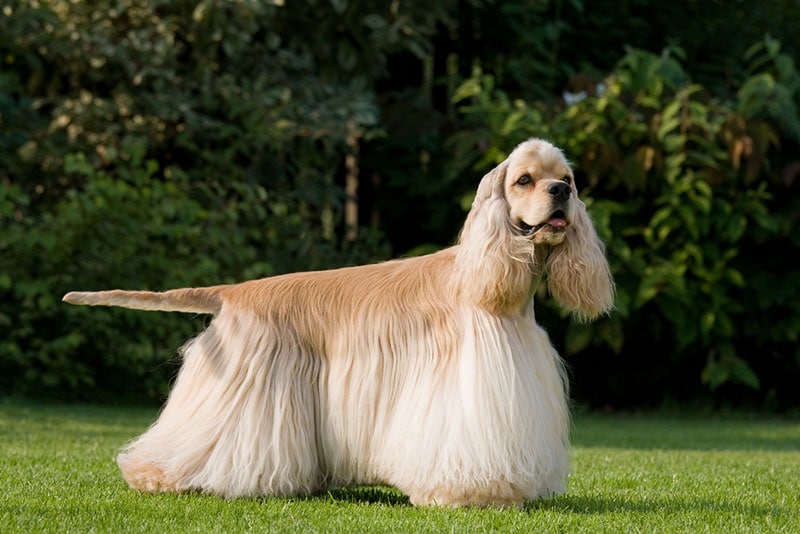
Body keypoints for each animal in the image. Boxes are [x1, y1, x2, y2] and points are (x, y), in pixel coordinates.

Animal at [64, 137, 612, 506]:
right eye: (524, 180)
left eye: (567, 178)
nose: (560, 192)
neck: (498, 287)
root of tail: (233, 293)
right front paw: (471, 493)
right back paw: (155, 475)